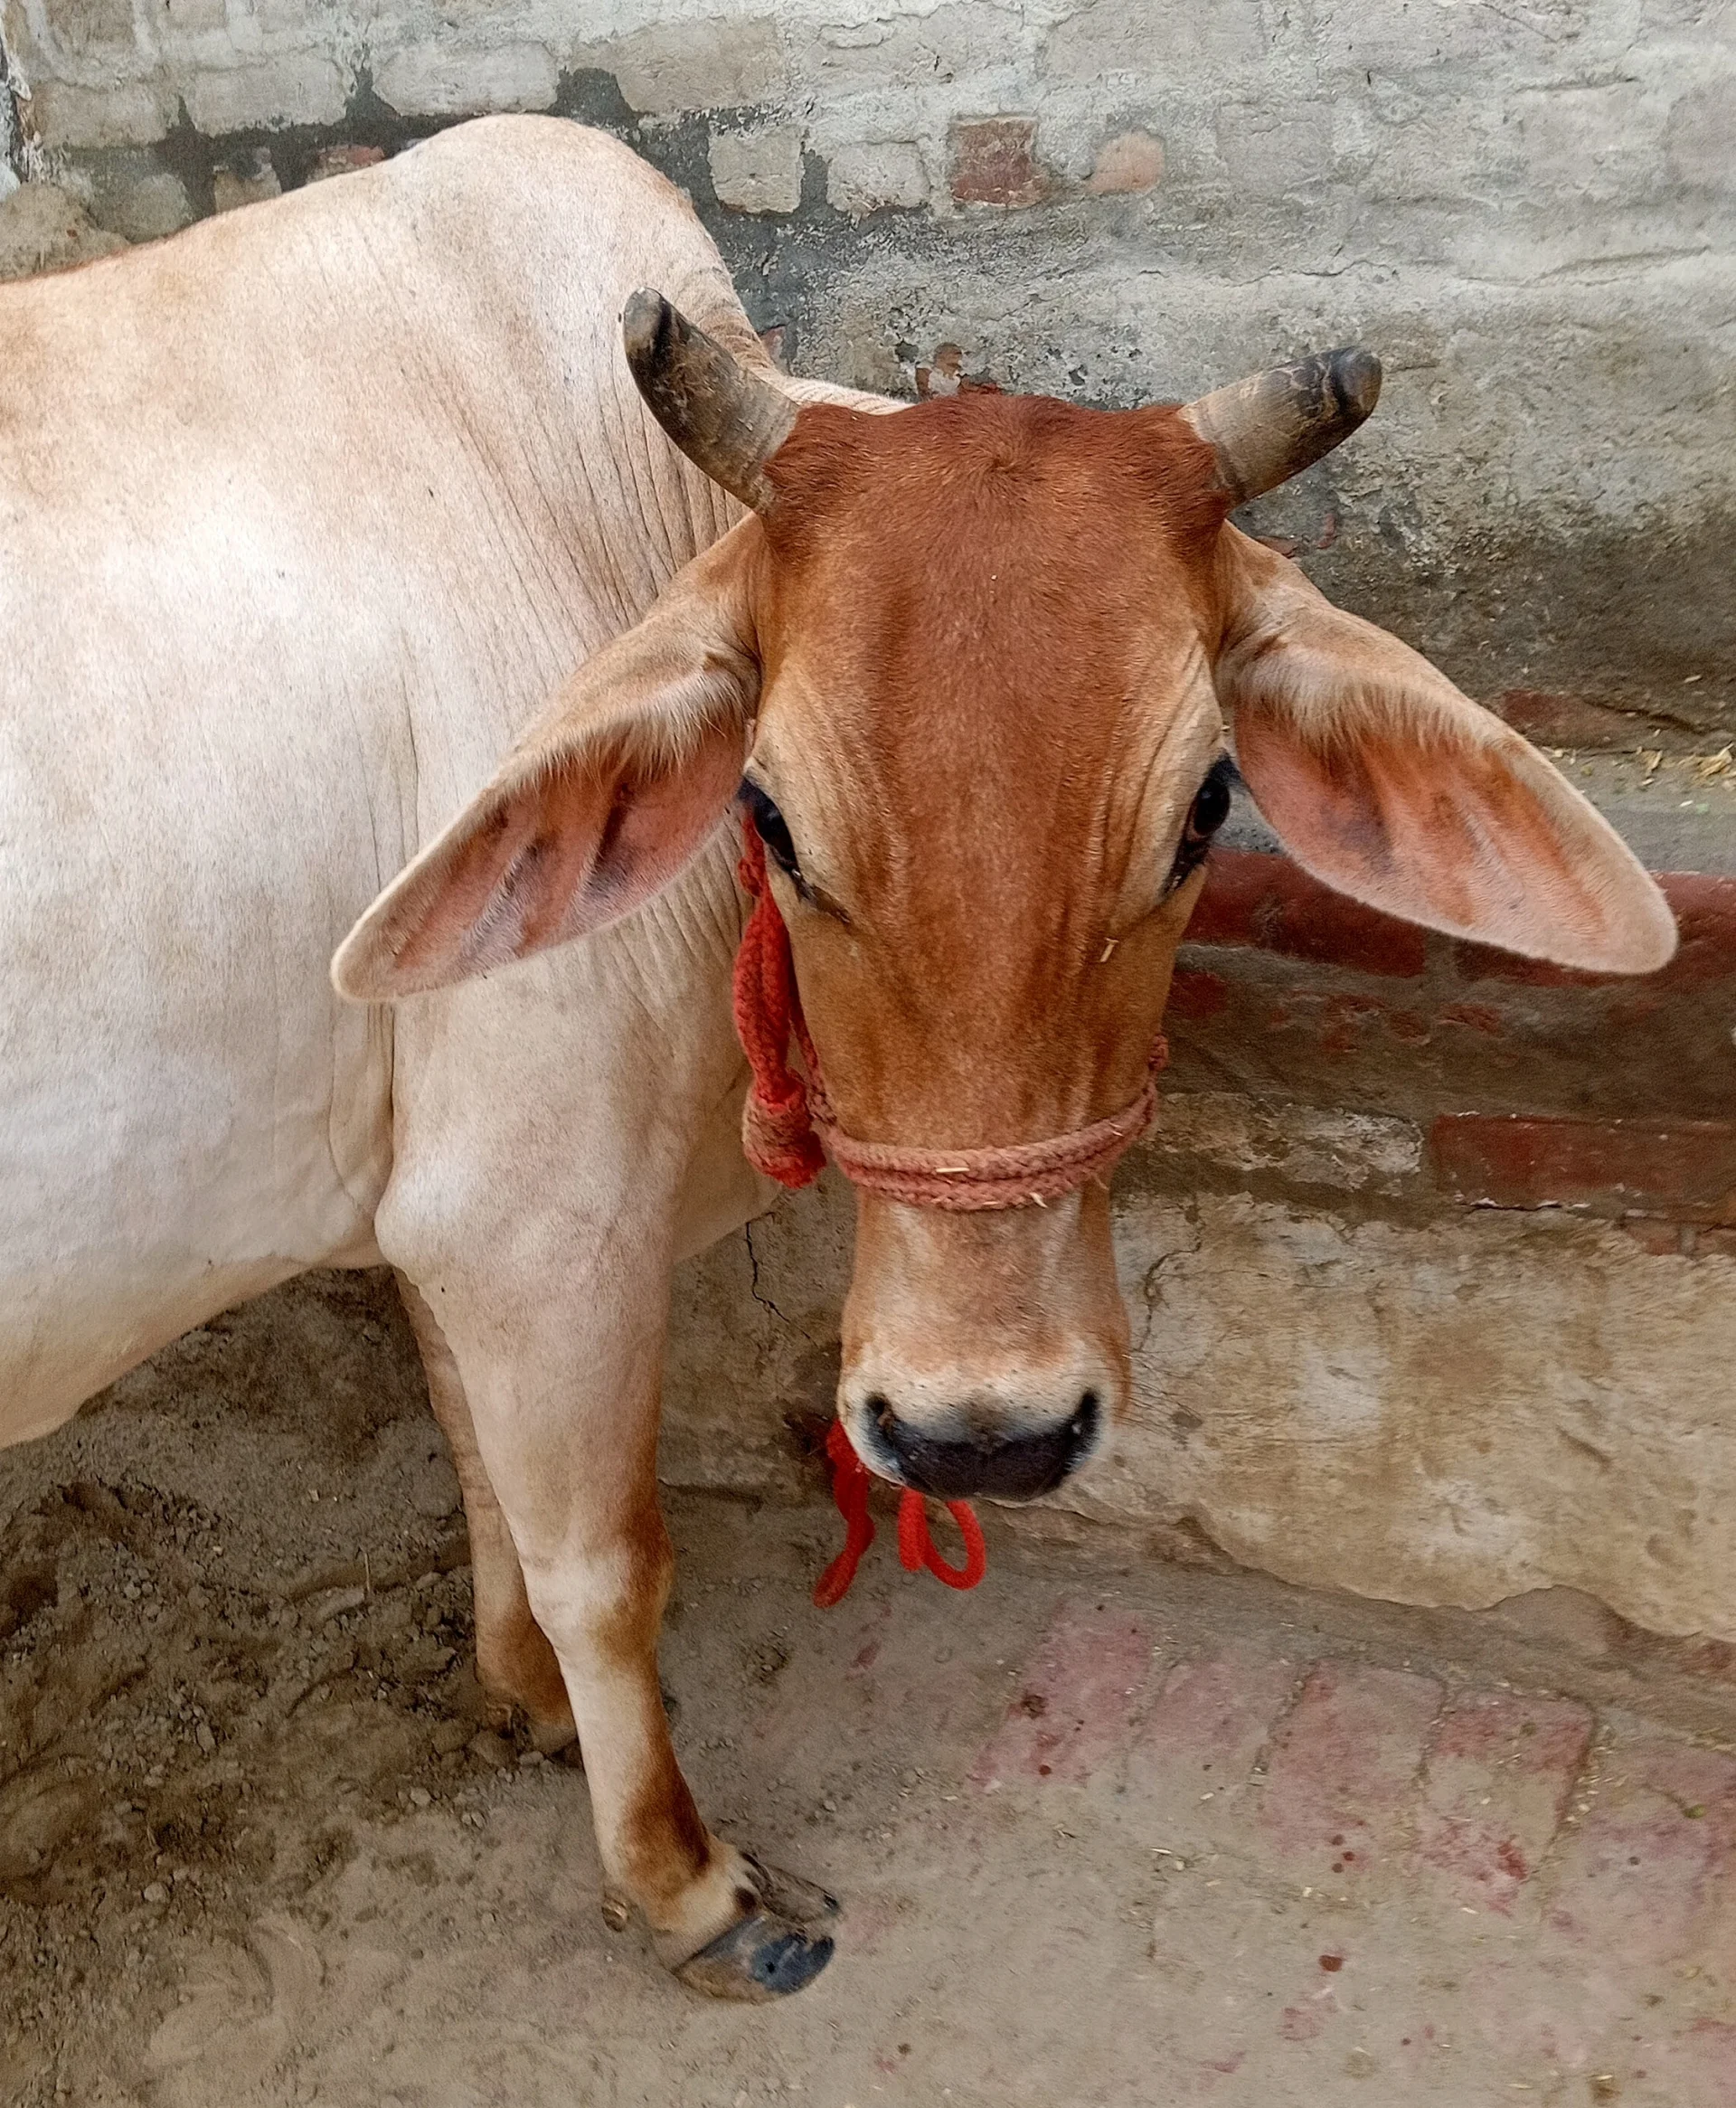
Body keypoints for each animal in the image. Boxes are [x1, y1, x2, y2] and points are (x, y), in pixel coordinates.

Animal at [1, 114, 1674, 2001]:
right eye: (770, 816)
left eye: (1204, 809)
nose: (979, 1434)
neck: (589, 501)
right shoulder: (537, 1221)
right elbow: (606, 1564)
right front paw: (683, 1880)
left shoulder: (446, 1218)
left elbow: (478, 1464)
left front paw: (517, 1695)